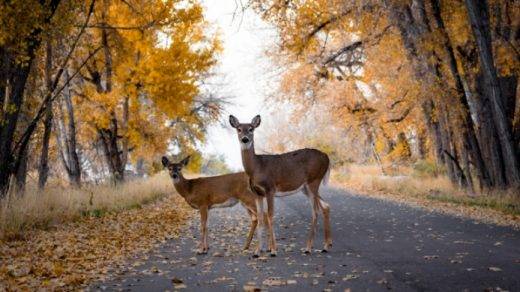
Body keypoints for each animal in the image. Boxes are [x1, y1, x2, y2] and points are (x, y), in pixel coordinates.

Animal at [229, 114, 334, 256]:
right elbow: (260, 217)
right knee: (326, 206)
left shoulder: (270, 189)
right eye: (239, 129)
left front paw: (273, 250)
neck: (257, 167)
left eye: (251, 129)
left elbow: (270, 215)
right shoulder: (257, 193)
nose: (245, 139)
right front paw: (257, 251)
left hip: (314, 180)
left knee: (315, 210)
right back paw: (325, 246)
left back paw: (308, 248)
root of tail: (327, 157)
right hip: (305, 188)